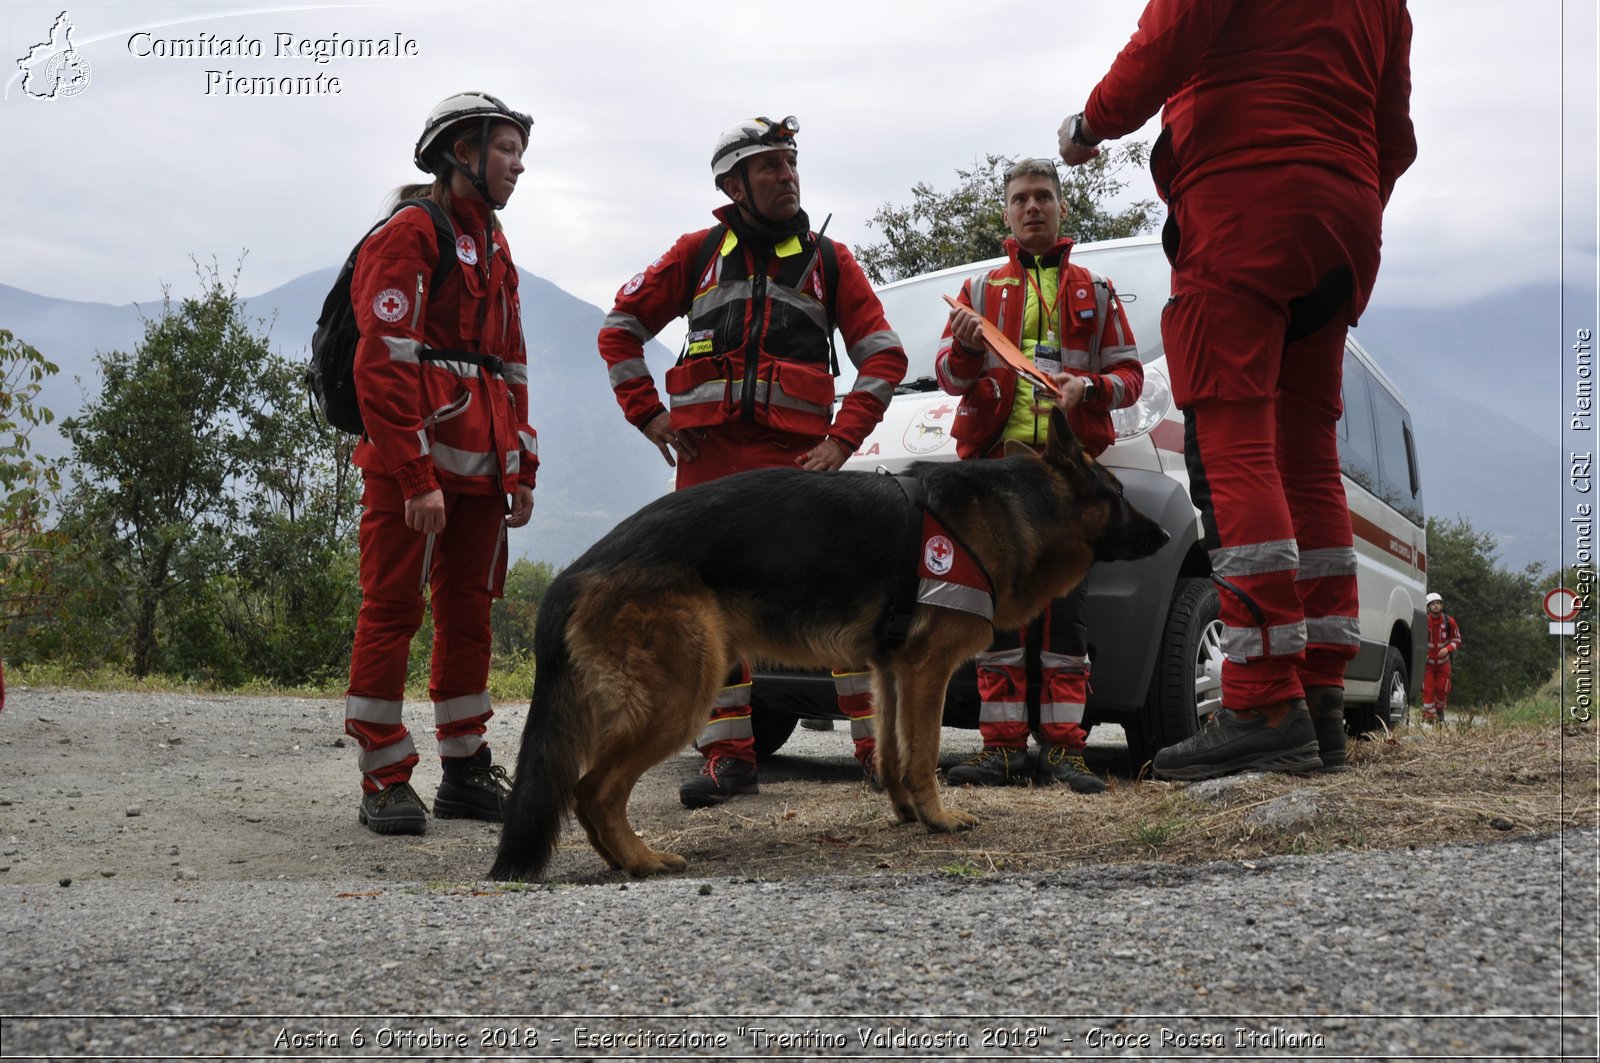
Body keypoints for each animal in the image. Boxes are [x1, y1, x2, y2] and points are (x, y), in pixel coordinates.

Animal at [486, 406, 1164, 877]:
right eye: (1118, 496)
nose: (1163, 536)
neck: (1017, 507)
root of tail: (574, 573)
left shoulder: (892, 670)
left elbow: (891, 752)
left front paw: (905, 811)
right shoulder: (928, 670)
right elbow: (923, 753)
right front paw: (938, 818)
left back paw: (622, 858)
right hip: (682, 697)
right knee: (592, 789)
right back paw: (642, 859)